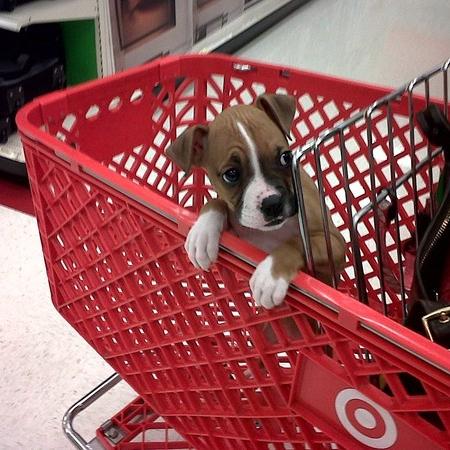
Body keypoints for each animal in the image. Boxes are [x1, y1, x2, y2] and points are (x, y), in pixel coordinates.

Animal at [165, 92, 344, 310]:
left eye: (285, 157)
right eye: (231, 174)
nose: (273, 203)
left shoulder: (335, 244)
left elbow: (296, 242)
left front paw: (270, 274)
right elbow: (218, 202)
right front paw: (203, 233)